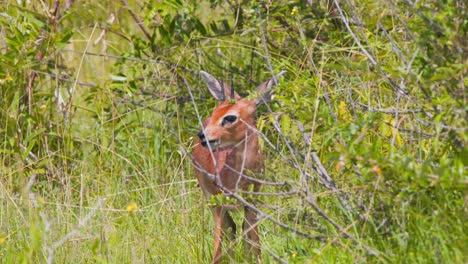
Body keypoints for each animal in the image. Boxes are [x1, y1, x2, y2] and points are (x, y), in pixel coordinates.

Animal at [191, 70, 286, 264]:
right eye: (215, 111)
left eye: (230, 117)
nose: (203, 135)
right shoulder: (218, 203)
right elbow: (219, 245)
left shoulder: (252, 202)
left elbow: (254, 240)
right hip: (211, 199)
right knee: (229, 229)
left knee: (239, 228)